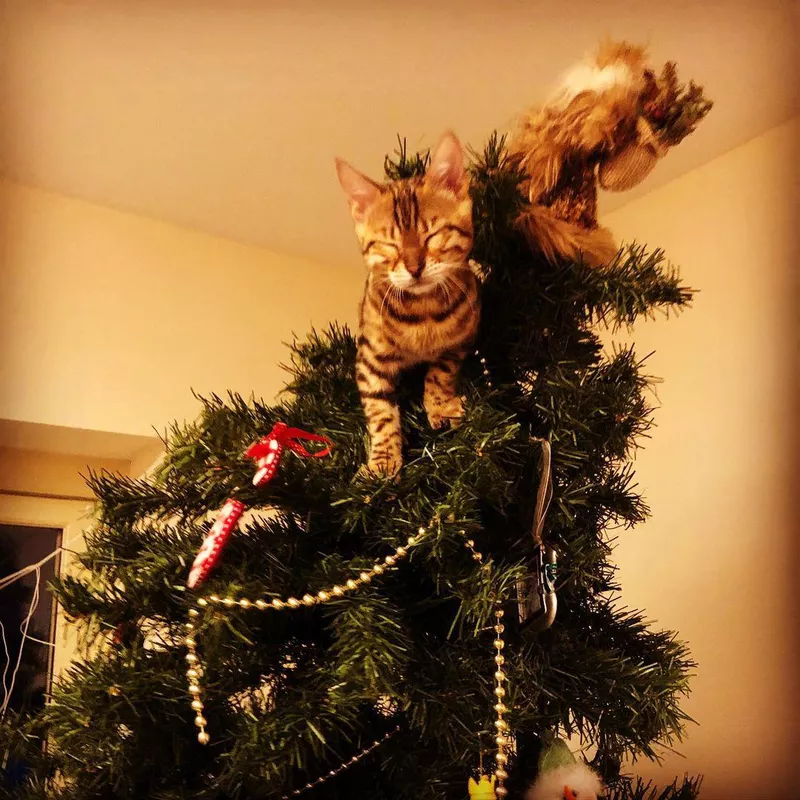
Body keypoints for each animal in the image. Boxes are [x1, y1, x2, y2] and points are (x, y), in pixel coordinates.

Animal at [334, 131, 478, 476]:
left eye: (433, 236)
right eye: (390, 244)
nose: (414, 268)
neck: (422, 312)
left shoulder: (464, 337)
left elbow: (441, 372)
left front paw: (441, 406)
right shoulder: (369, 359)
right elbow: (379, 410)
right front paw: (384, 459)